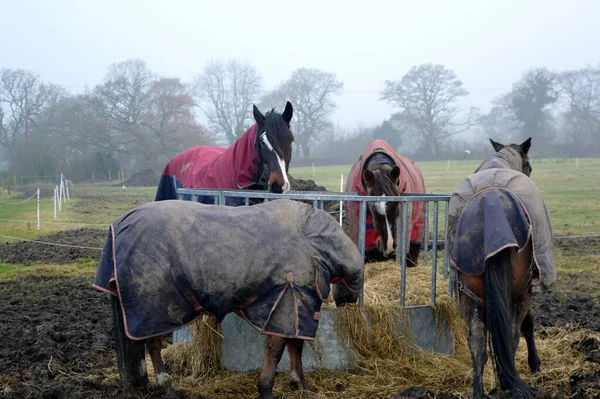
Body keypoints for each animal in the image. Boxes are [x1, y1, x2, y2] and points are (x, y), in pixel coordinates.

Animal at [94, 198, 364, 398]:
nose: (348, 301)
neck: (312, 242)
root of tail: (118, 223)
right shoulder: (285, 306)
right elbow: (277, 351)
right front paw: (266, 389)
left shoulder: (295, 310)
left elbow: (295, 346)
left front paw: (301, 385)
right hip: (156, 309)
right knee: (153, 345)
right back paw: (167, 387)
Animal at [448, 138, 556, 399]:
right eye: (529, 167)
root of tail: (490, 205)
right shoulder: (525, 290)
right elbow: (527, 325)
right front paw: (535, 364)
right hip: (518, 292)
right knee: (512, 333)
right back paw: (509, 383)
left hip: (469, 295)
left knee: (477, 340)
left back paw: (479, 390)